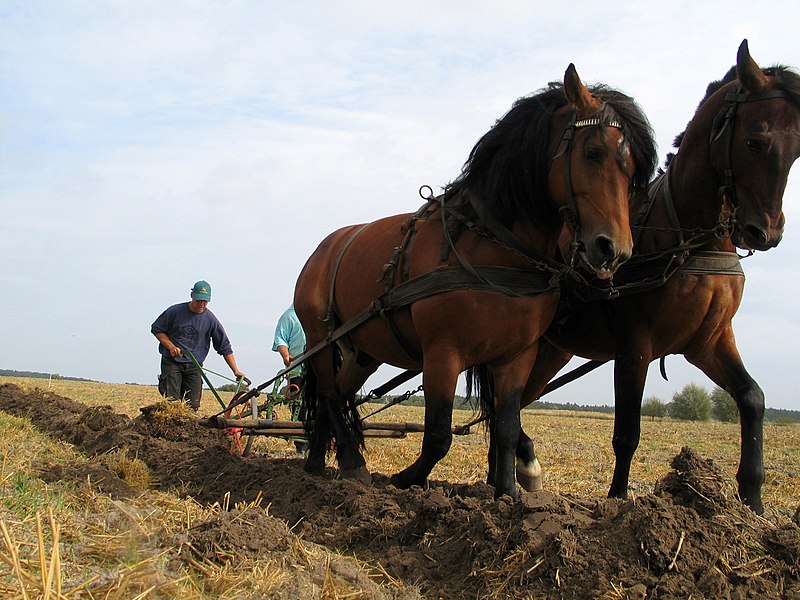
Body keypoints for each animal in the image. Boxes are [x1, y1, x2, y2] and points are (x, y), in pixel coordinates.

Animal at [294, 64, 656, 496]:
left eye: (633, 169)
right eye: (593, 152)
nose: (614, 249)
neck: (495, 246)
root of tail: (323, 248)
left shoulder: (516, 356)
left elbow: (506, 426)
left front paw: (507, 493)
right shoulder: (442, 353)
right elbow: (438, 436)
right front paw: (405, 479)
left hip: (362, 350)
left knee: (334, 396)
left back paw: (316, 464)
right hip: (319, 336)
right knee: (329, 394)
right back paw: (351, 462)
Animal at [482, 39, 800, 512]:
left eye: (796, 149)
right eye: (755, 141)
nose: (766, 232)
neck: (689, 241)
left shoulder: (708, 342)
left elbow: (753, 400)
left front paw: (753, 505)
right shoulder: (635, 347)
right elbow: (627, 433)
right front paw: (618, 502)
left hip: (552, 351)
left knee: (509, 404)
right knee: (505, 405)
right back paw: (520, 470)